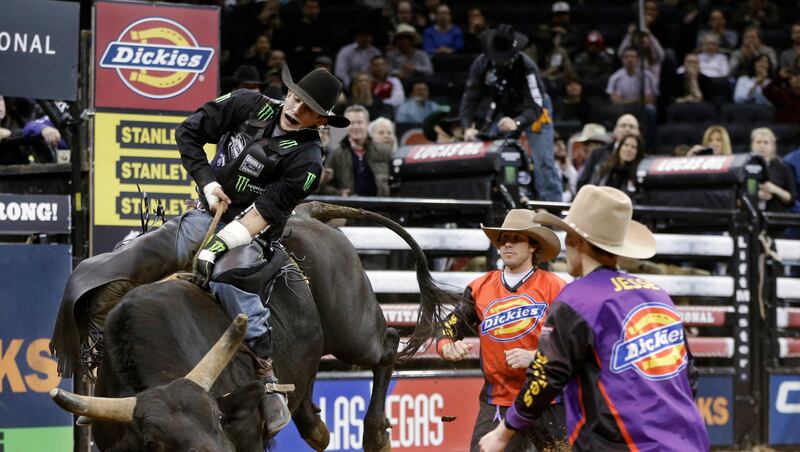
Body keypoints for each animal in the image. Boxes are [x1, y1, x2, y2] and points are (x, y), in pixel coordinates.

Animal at [50, 202, 462, 452]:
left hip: (353, 329)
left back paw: (375, 434)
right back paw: (312, 424)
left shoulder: (246, 434)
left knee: (387, 345)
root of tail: (304, 214)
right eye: (154, 443)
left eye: (217, 419)